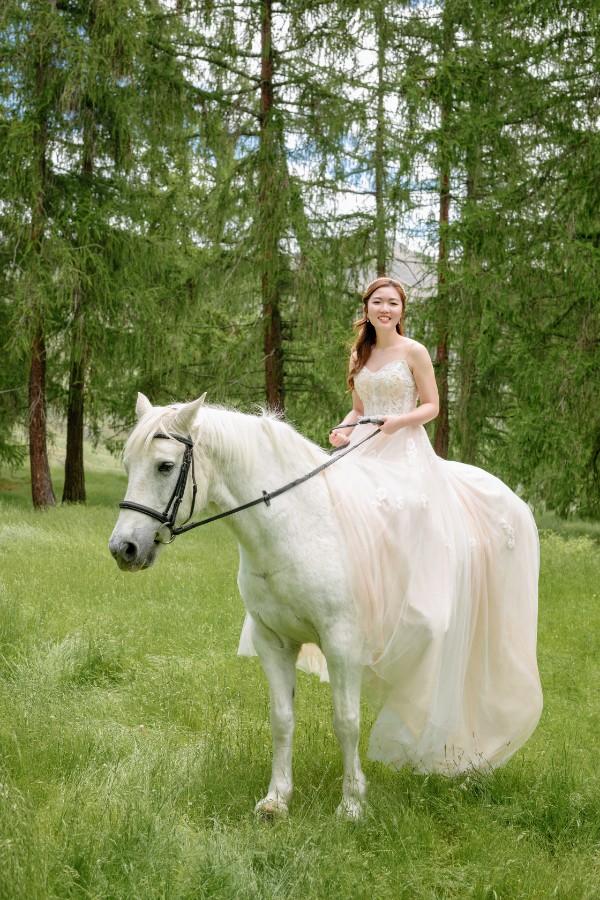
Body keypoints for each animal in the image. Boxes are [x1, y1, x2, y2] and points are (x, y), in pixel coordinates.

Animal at [110, 392, 368, 816]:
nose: (122, 549)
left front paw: (351, 806)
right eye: (128, 465)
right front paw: (276, 799)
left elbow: (347, 721)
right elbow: (281, 718)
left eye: (165, 466)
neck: (299, 527)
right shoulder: (274, 641)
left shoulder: (342, 644)